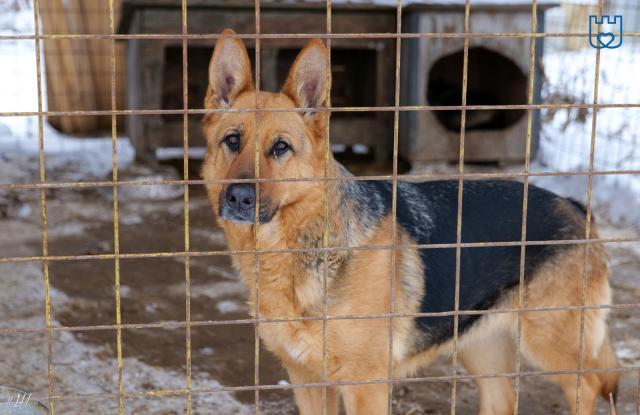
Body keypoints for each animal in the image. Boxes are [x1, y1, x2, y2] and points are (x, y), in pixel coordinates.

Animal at [202, 30, 616, 414]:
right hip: (481, 346)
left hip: (550, 341)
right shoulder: (307, 381)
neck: (300, 245)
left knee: (591, 384)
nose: (239, 198)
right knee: (504, 399)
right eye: (232, 141)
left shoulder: (365, 386)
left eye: (280, 148)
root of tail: (574, 206)